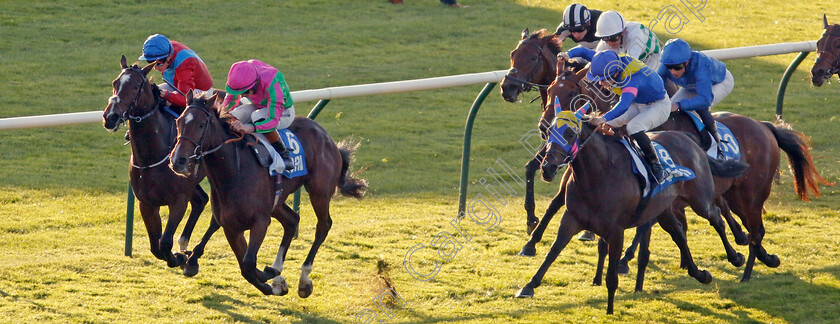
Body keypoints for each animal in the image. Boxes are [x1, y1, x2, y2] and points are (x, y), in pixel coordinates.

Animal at [103, 56, 215, 276]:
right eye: (115, 83)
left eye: (135, 86)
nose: (110, 117)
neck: (150, 158)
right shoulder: (147, 203)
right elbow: (155, 246)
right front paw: (179, 256)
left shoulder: (178, 201)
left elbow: (164, 242)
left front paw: (179, 258)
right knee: (201, 200)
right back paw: (185, 245)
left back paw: (192, 257)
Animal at [169, 90, 366, 296]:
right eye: (178, 122)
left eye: (201, 125)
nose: (178, 160)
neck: (233, 171)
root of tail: (327, 137)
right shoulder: (231, 228)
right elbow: (246, 268)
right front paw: (274, 281)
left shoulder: (261, 221)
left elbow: (249, 263)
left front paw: (271, 275)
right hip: (277, 201)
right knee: (292, 220)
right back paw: (278, 268)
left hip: (319, 191)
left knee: (323, 225)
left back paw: (304, 278)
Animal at [516, 109, 724, 314]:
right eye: (548, 132)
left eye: (570, 134)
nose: (547, 168)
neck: (598, 175)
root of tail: (688, 138)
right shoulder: (571, 219)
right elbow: (553, 251)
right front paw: (529, 285)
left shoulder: (616, 231)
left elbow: (612, 275)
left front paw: (609, 310)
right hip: (663, 209)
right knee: (679, 234)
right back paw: (700, 274)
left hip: (700, 199)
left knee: (716, 218)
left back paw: (731, 256)